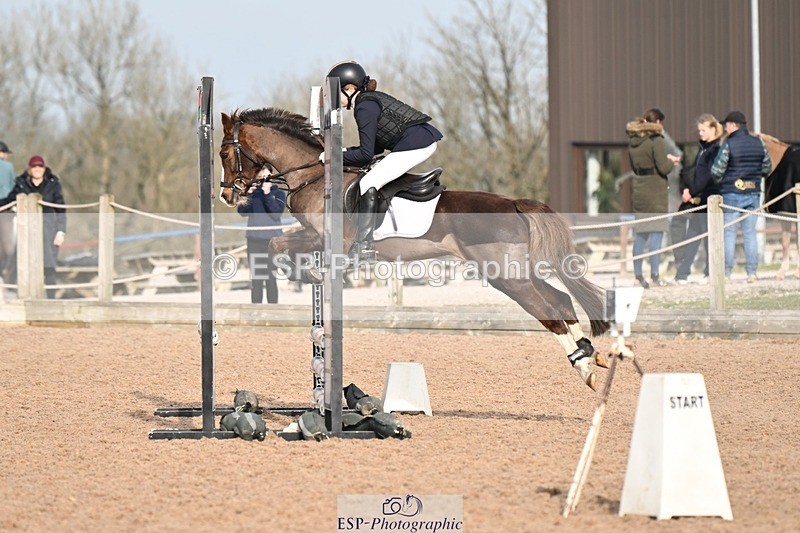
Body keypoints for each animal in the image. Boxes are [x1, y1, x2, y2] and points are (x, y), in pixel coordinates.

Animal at [218, 107, 611, 390]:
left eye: (224, 152)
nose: (226, 196)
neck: (314, 176)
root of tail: (514, 204)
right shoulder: (312, 235)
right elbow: (278, 242)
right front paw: (307, 272)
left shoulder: (329, 239)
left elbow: (278, 244)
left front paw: (307, 272)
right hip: (517, 272)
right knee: (561, 300)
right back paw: (590, 359)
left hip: (505, 276)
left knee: (550, 312)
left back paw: (585, 369)